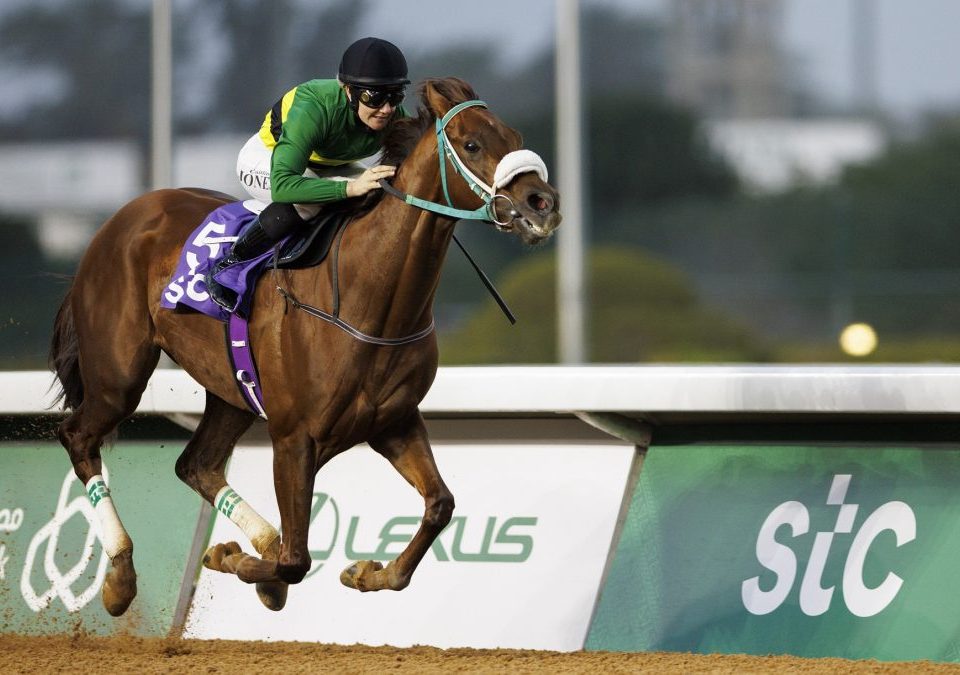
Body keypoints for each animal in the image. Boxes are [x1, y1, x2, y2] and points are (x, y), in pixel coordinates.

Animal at [47, 76, 564, 616]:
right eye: (472, 144)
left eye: (515, 135)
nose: (542, 203)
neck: (367, 296)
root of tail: (121, 217)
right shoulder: (295, 438)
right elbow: (296, 560)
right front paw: (234, 559)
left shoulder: (394, 422)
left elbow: (439, 506)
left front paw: (367, 572)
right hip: (119, 374)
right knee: (79, 436)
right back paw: (121, 575)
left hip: (232, 390)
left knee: (197, 464)